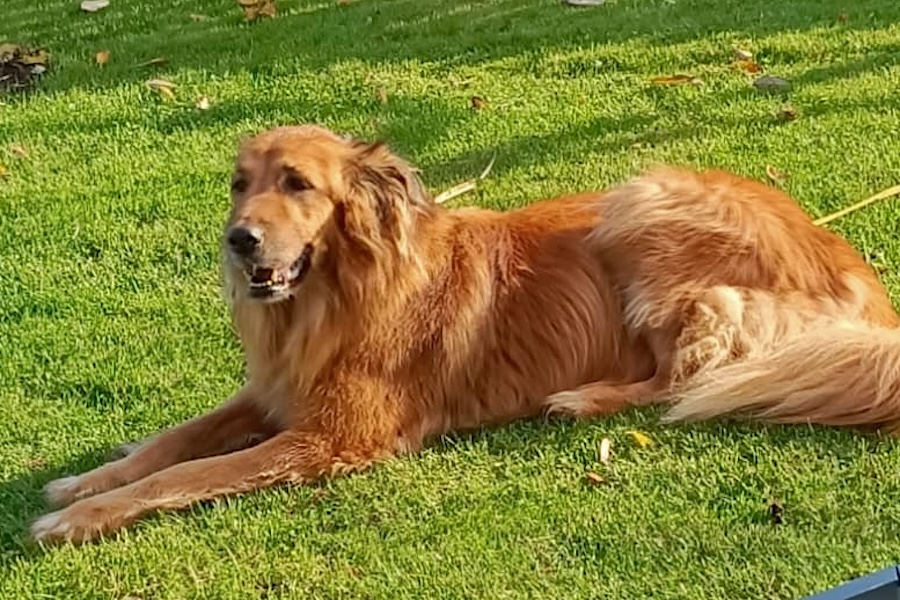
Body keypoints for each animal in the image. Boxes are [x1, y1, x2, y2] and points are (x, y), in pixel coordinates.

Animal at [30, 125, 900, 545]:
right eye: (240, 185)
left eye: (298, 184)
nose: (238, 241)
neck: (341, 294)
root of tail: (842, 257)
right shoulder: (275, 391)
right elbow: (173, 441)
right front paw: (83, 484)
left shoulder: (331, 437)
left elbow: (186, 474)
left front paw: (79, 519)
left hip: (643, 202)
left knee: (686, 378)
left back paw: (583, 399)